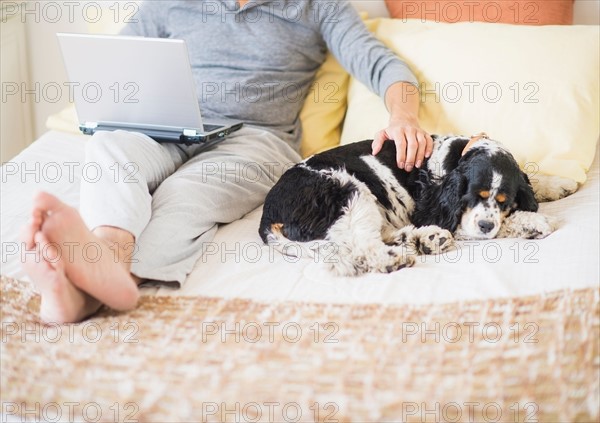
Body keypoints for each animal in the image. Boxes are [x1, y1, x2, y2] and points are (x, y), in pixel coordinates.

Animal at [260, 134, 580, 276]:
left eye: (503, 201)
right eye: (472, 196)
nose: (486, 225)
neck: (457, 157)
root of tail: (267, 215)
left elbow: (531, 182)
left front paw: (559, 183)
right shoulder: (439, 209)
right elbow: (479, 225)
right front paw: (533, 222)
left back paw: (423, 239)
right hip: (348, 190)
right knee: (363, 247)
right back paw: (396, 256)